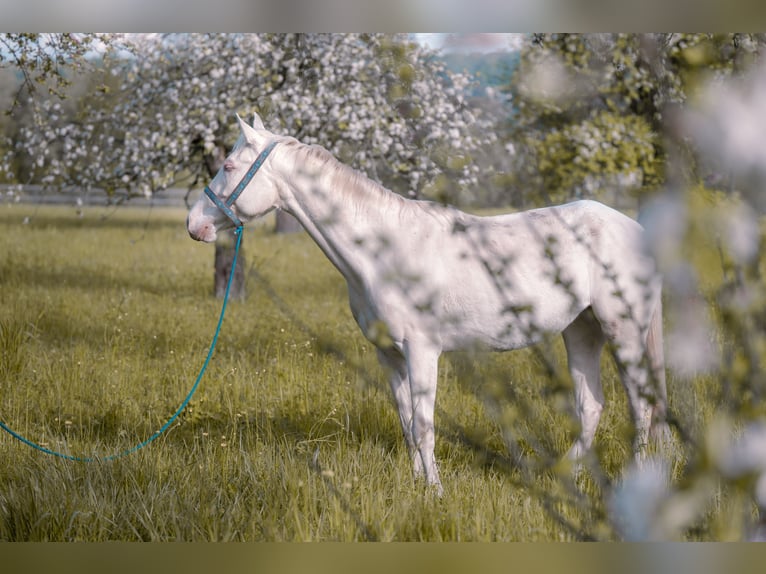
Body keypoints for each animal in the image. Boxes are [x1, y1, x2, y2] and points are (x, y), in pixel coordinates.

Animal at [187, 114, 668, 494]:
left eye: (228, 165)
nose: (194, 225)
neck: (383, 252)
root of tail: (636, 229)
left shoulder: (422, 352)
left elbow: (424, 425)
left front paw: (435, 491)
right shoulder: (389, 355)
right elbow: (406, 422)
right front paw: (417, 483)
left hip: (623, 331)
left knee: (640, 405)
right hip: (581, 329)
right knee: (592, 405)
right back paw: (567, 475)